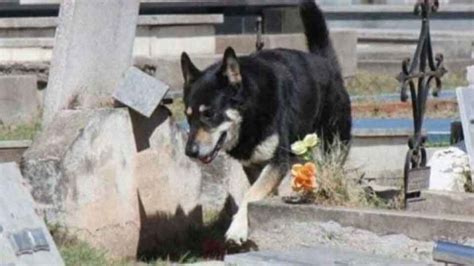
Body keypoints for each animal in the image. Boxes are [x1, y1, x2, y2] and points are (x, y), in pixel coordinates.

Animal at [180, 0, 350, 245]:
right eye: (188, 115)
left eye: (209, 114)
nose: (190, 152)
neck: (251, 112)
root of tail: (326, 63)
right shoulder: (253, 164)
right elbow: (253, 192)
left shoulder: (277, 161)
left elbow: (250, 196)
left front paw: (237, 229)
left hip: (331, 147)